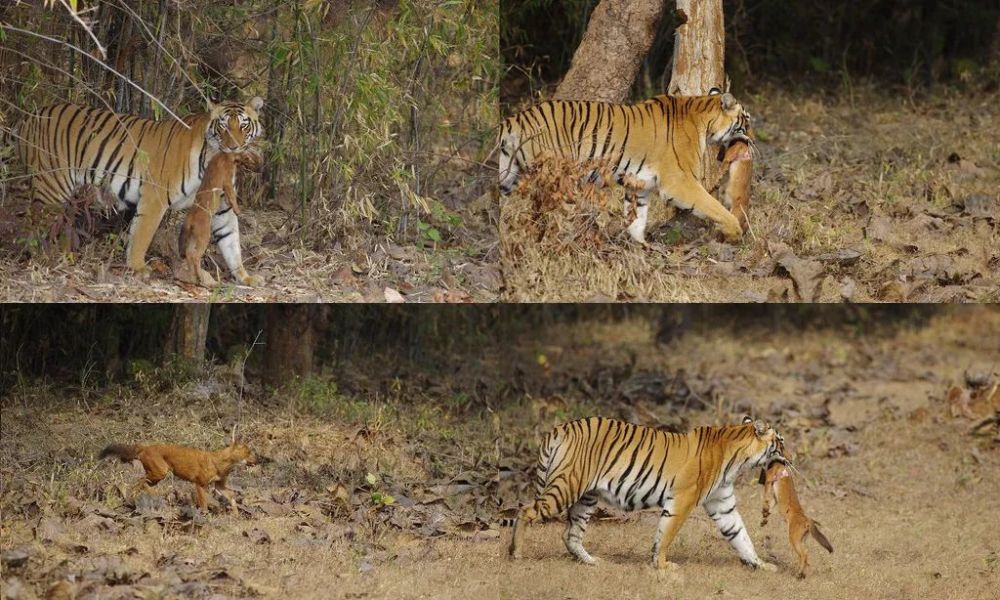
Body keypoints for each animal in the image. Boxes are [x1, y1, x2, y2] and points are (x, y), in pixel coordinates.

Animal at [16, 97, 264, 274]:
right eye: (223, 125)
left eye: (243, 126)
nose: (233, 147)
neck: (210, 156)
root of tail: (32, 114)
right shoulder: (155, 196)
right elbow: (142, 234)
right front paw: (137, 267)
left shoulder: (222, 206)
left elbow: (231, 240)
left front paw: (245, 277)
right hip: (52, 186)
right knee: (34, 223)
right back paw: (40, 257)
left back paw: (65, 255)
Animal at [498, 90, 754, 243]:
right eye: (747, 120)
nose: (752, 140)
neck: (703, 117)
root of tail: (514, 119)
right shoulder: (680, 182)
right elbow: (713, 206)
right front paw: (734, 232)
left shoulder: (639, 184)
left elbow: (637, 219)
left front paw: (641, 248)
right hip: (557, 178)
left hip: (507, 175)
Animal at [507, 416, 786, 571]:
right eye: (781, 441)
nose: (789, 457)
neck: (737, 460)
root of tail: (559, 429)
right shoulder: (682, 500)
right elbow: (666, 534)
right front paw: (662, 566)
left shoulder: (722, 503)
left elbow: (741, 536)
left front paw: (761, 565)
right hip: (567, 487)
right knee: (526, 510)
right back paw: (516, 553)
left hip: (586, 497)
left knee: (570, 534)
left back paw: (592, 562)